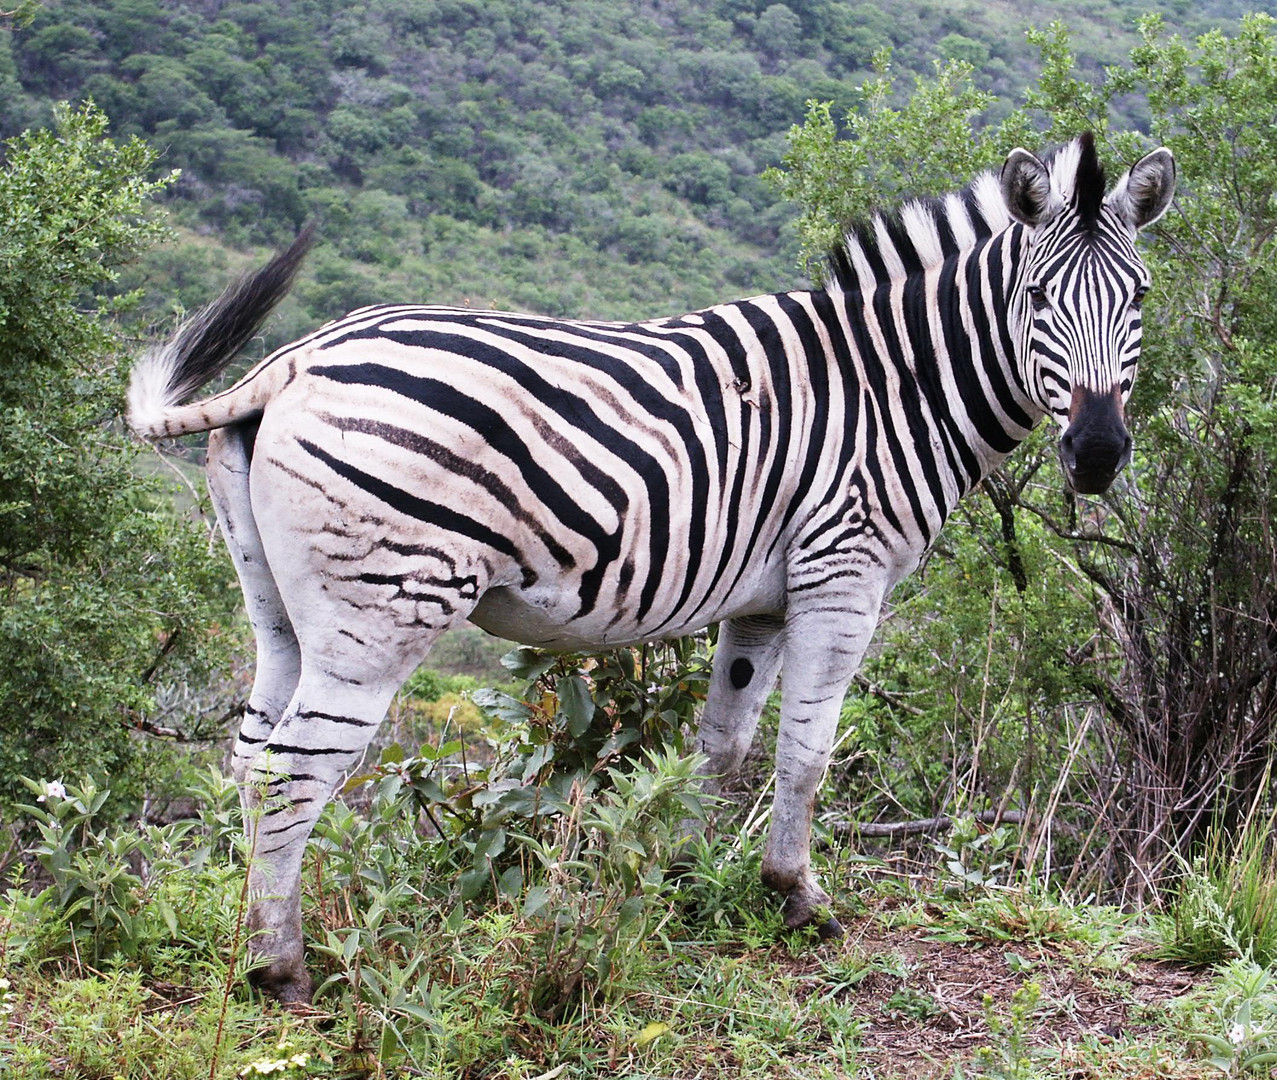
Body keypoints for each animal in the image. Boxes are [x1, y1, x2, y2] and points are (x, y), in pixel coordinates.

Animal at [129, 135, 1174, 1005]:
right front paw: (799, 898)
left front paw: (688, 881)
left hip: (277, 614)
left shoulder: (762, 600)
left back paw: (236, 943)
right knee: (290, 773)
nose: (1096, 455)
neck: (895, 385)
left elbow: (725, 747)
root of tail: (297, 361)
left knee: (246, 757)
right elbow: (805, 754)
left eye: (1138, 300)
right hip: (381, 615)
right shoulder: (845, 571)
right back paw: (280, 970)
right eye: (1036, 302)